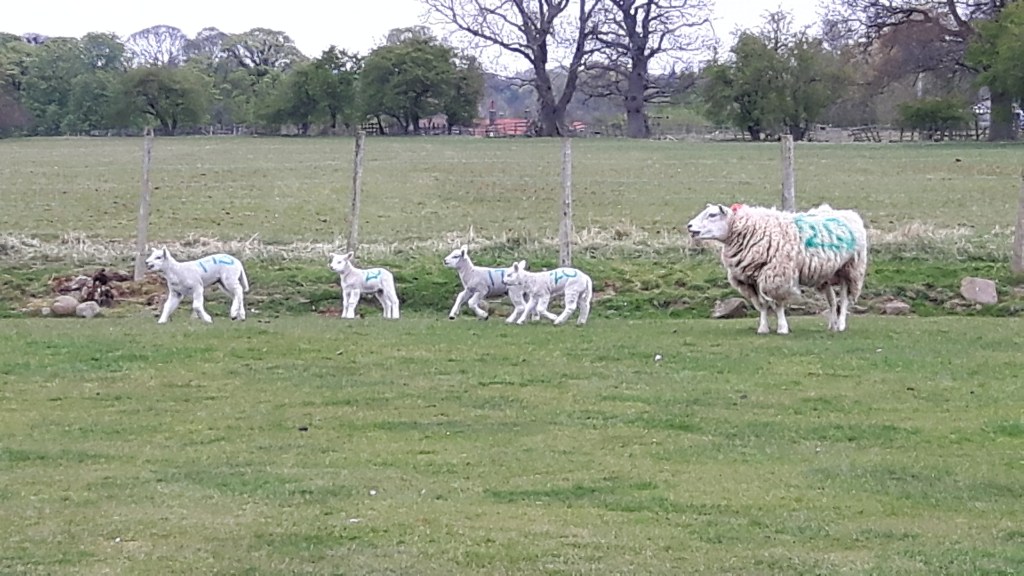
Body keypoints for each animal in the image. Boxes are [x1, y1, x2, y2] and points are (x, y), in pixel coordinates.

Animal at [685, 202, 868, 334]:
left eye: (712, 215)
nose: (689, 226)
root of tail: (850, 214)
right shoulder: (752, 279)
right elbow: (762, 305)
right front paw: (763, 328)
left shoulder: (776, 275)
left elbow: (778, 304)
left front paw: (782, 328)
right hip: (826, 275)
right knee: (832, 300)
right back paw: (833, 325)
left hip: (849, 269)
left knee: (844, 298)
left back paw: (841, 325)